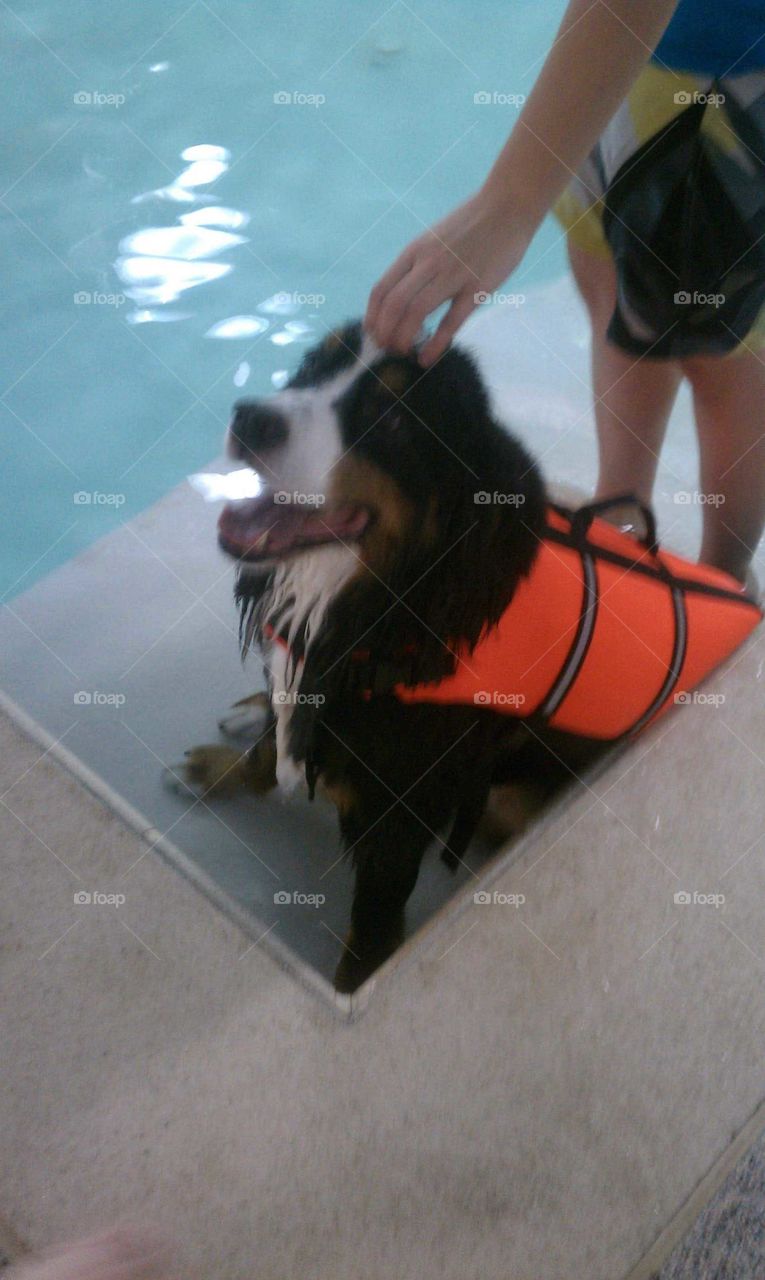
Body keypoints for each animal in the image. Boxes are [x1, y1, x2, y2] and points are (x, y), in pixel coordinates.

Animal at [168, 320, 611, 988]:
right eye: (315, 367)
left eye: (395, 418)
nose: (252, 418)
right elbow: (268, 748)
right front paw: (221, 768)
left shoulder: (399, 816)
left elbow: (371, 930)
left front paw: (353, 983)